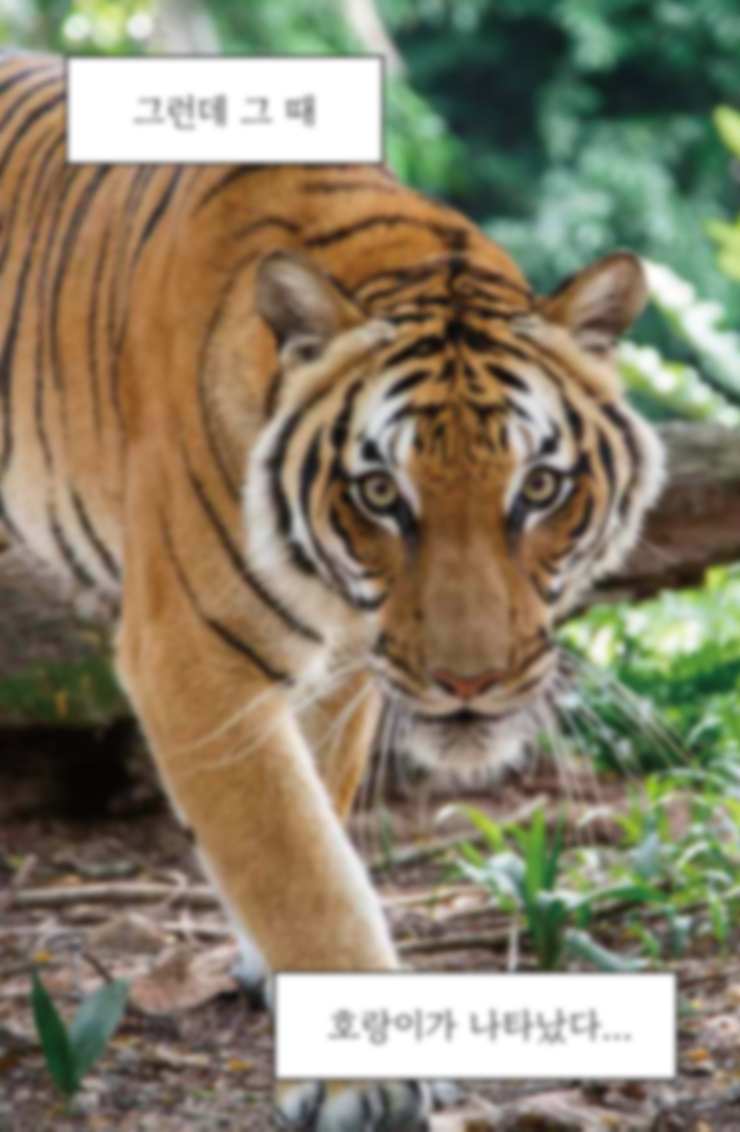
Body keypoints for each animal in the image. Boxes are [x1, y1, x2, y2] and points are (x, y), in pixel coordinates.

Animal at [0, 53, 664, 1130]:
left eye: (538, 488)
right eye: (380, 493)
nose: (469, 683)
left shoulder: (349, 664)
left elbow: (319, 808)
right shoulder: (192, 657)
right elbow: (294, 854)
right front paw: (364, 1080)